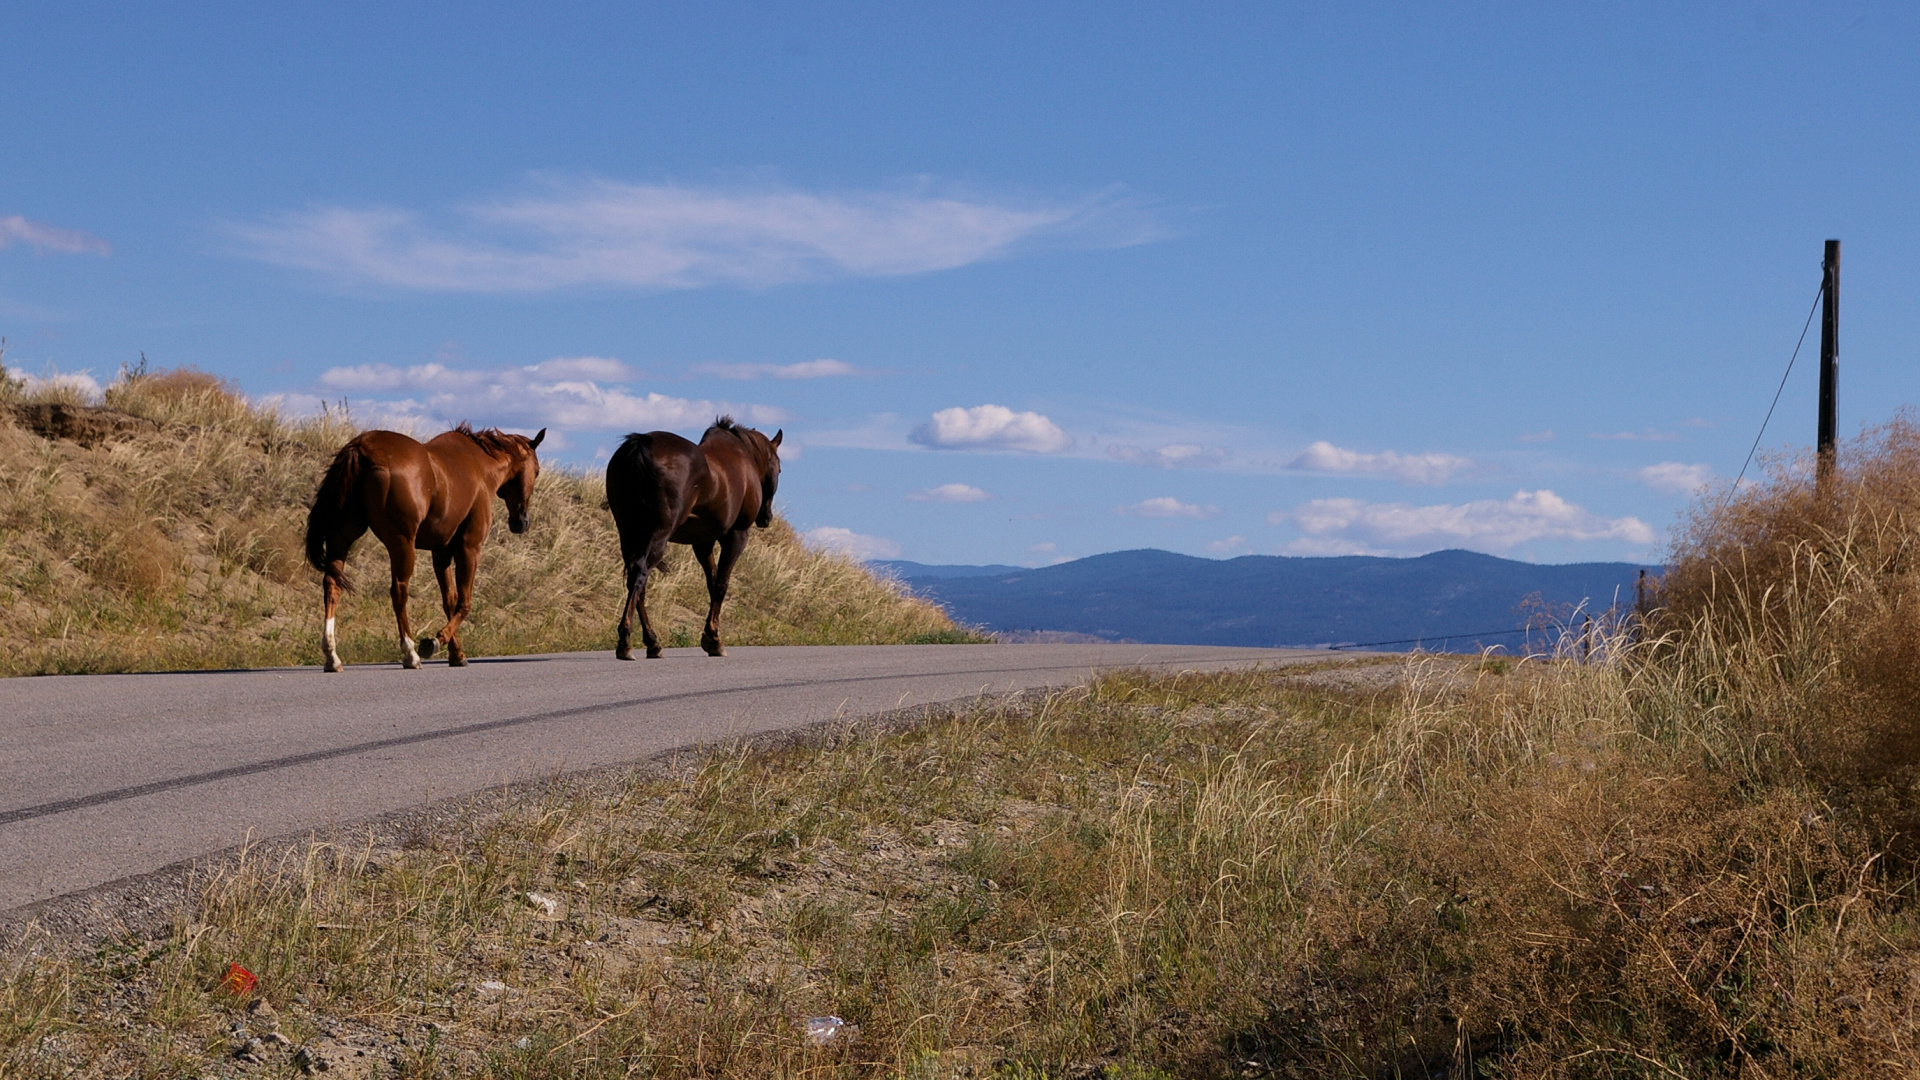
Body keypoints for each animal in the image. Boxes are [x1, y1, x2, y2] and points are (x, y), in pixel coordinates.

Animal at [301, 422, 541, 668]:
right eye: (537, 471)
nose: (521, 522)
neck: (480, 466)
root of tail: (362, 447)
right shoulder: (469, 548)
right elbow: (464, 602)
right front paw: (435, 641)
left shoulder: (441, 553)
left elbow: (449, 601)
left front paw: (456, 653)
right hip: (402, 543)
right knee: (399, 591)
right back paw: (410, 653)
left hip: (341, 537)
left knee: (332, 586)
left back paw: (331, 655)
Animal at [602, 417, 775, 661]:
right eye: (778, 467)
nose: (766, 517)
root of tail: (641, 443)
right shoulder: (736, 536)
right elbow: (721, 584)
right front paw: (714, 639)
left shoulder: (703, 542)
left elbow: (712, 583)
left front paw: (710, 638)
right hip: (657, 535)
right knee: (640, 574)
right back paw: (626, 641)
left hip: (628, 535)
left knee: (636, 582)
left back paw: (652, 643)